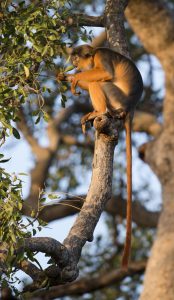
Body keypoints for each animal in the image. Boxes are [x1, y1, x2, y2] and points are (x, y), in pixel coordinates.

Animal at [57, 44, 143, 268]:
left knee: (100, 82)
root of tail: (130, 108)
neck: (94, 53)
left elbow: (105, 73)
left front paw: (74, 77)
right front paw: (67, 77)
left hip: (115, 96)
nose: (75, 65)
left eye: (76, 59)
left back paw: (99, 111)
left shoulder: (101, 57)